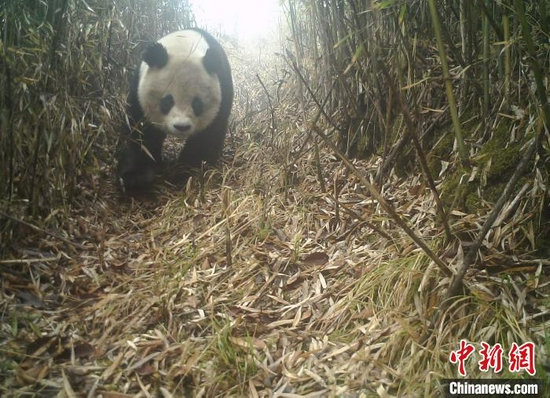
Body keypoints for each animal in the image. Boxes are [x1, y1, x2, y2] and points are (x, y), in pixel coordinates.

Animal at [117, 28, 234, 191]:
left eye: (196, 104)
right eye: (167, 102)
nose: (181, 127)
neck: (184, 45)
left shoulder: (222, 90)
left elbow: (206, 137)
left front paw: (184, 172)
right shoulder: (138, 91)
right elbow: (139, 132)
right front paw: (135, 178)